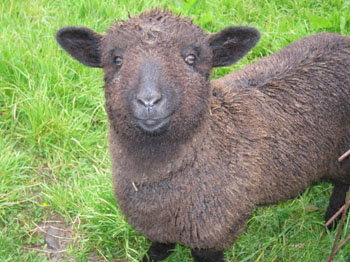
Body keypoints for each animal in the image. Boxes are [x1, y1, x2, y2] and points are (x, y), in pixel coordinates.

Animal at [55, 8, 350, 262]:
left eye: (191, 58)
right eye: (116, 59)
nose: (149, 101)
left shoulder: (213, 233)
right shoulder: (159, 228)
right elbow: (159, 248)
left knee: (342, 186)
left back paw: (332, 222)